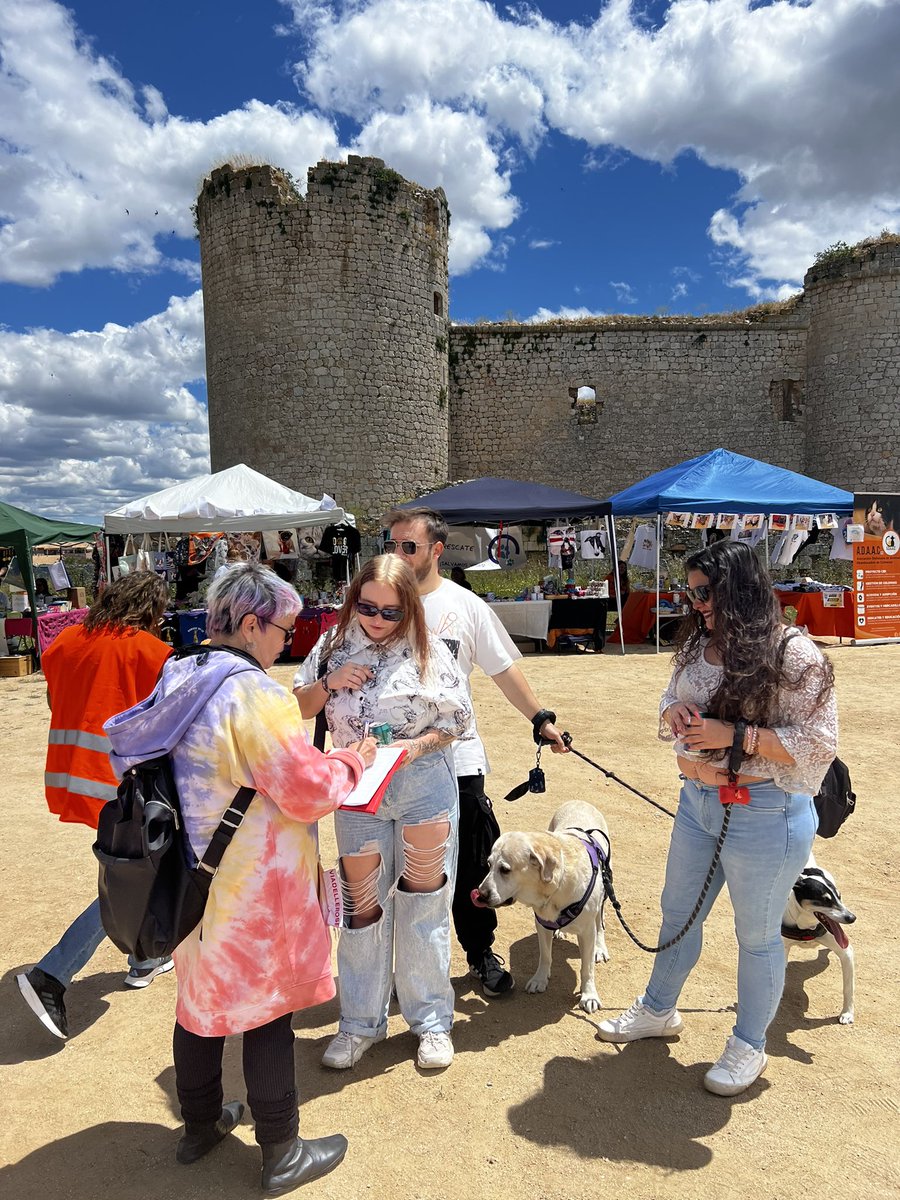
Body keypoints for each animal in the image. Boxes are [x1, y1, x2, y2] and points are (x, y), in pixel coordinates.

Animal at [472, 796, 614, 1012]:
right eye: (488, 865)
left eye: (505, 869)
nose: (480, 895)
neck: (556, 887)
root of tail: (579, 800)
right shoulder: (541, 923)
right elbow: (545, 955)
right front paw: (539, 980)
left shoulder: (587, 931)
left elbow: (587, 967)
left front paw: (589, 995)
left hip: (604, 892)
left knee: (600, 922)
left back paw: (600, 948)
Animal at [787, 854, 854, 1022]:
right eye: (825, 900)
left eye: (839, 897)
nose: (852, 918)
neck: (806, 924)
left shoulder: (846, 952)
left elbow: (848, 987)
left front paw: (847, 1013)